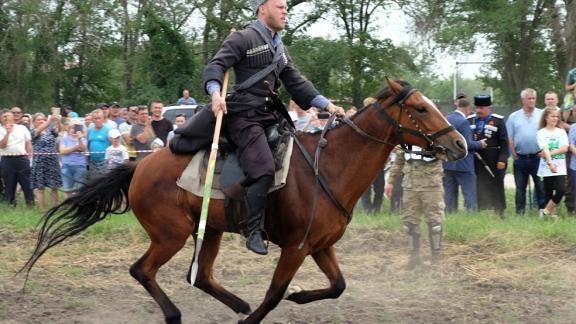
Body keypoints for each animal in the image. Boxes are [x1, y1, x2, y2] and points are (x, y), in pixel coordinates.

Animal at [21, 79, 468, 324]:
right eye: (420, 107)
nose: (460, 144)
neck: (328, 166)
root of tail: (140, 165)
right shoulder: (296, 247)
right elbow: (273, 295)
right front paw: (268, 308)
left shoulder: (320, 245)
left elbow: (337, 286)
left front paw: (300, 297)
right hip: (171, 235)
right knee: (142, 270)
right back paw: (176, 314)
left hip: (211, 231)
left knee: (200, 276)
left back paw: (235, 302)